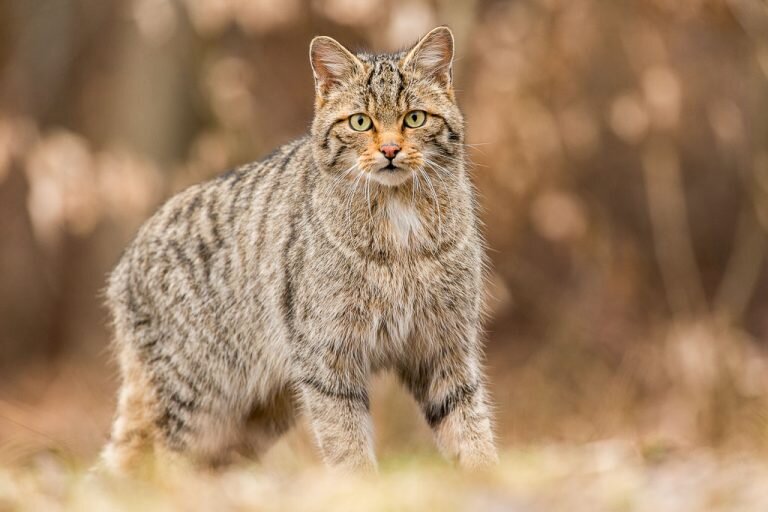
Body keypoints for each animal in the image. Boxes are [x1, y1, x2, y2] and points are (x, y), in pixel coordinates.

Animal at [100, 24, 498, 472]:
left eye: (414, 118)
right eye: (360, 122)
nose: (390, 150)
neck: (400, 224)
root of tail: (123, 266)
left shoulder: (444, 345)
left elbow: (469, 424)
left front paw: (486, 473)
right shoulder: (328, 354)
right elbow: (346, 441)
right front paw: (361, 482)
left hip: (256, 414)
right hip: (194, 397)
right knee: (161, 466)